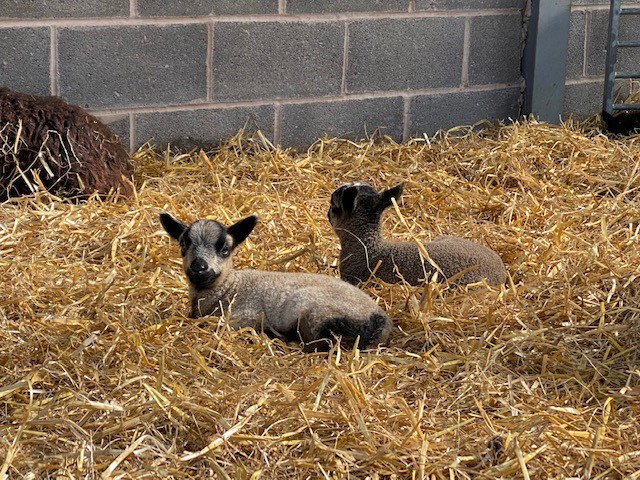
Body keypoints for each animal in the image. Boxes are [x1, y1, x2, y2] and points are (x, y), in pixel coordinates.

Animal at [159, 212, 393, 352]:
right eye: (183, 245)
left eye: (225, 249)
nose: (199, 267)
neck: (228, 289)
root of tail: (379, 320)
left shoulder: (244, 316)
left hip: (313, 310)